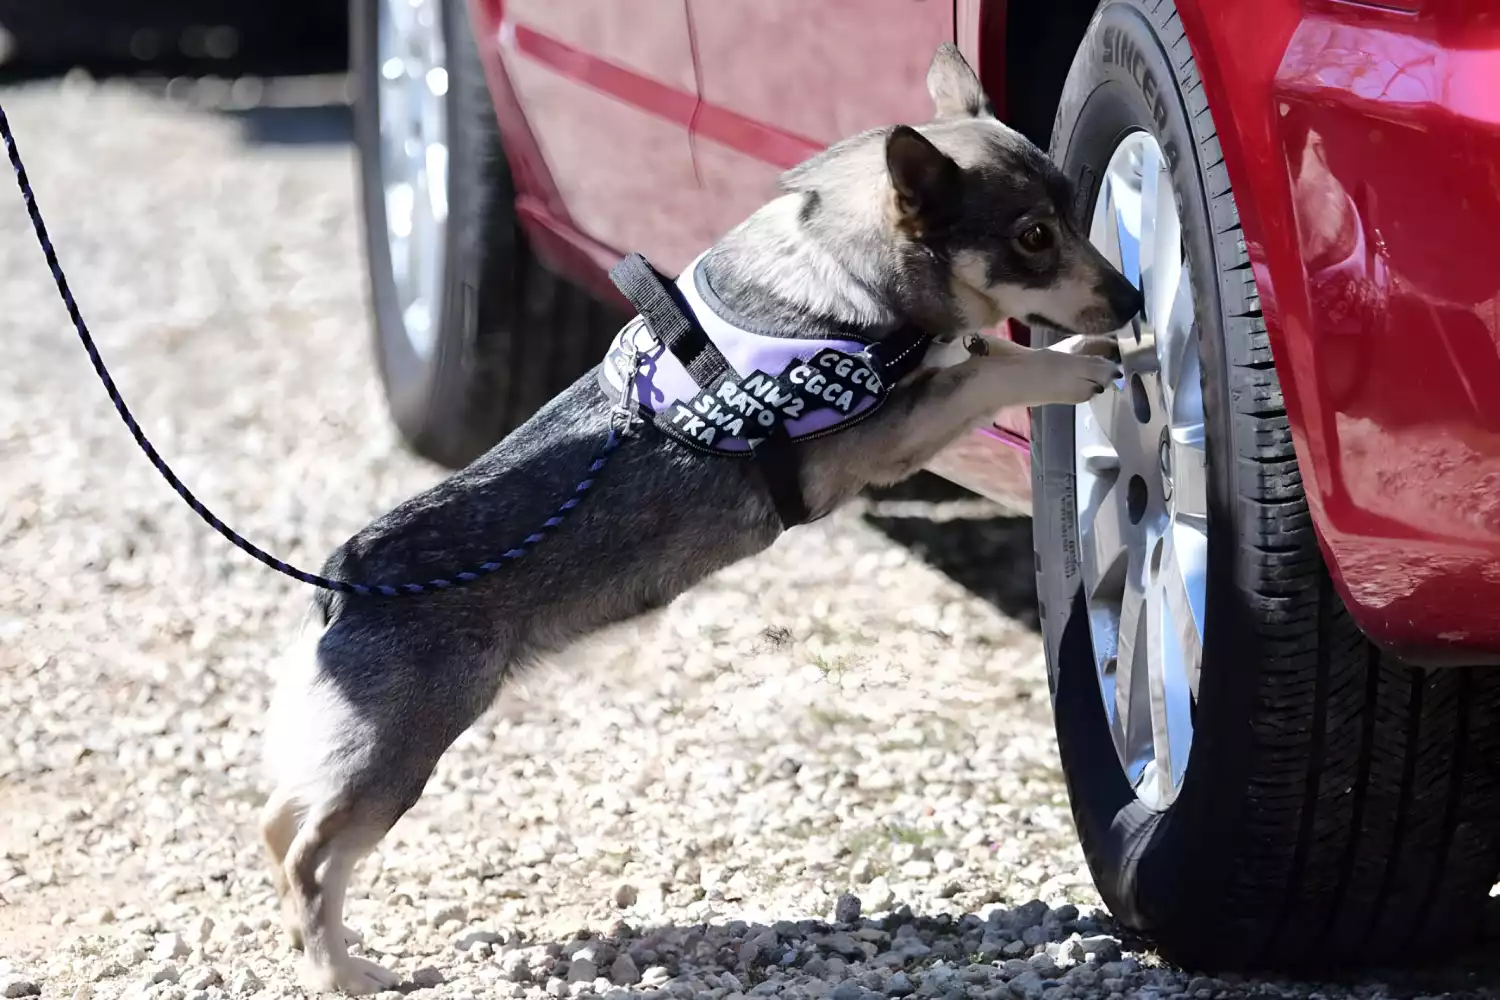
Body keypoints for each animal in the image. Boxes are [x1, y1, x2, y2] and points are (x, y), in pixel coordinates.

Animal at [264, 41, 1140, 995]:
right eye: (1033, 237)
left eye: (1077, 220)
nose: (1135, 300)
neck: (846, 277)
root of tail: (343, 582)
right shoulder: (881, 437)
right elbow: (988, 367)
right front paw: (1071, 366)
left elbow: (983, 354)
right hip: (400, 757)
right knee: (309, 857)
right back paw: (344, 972)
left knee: (281, 821)